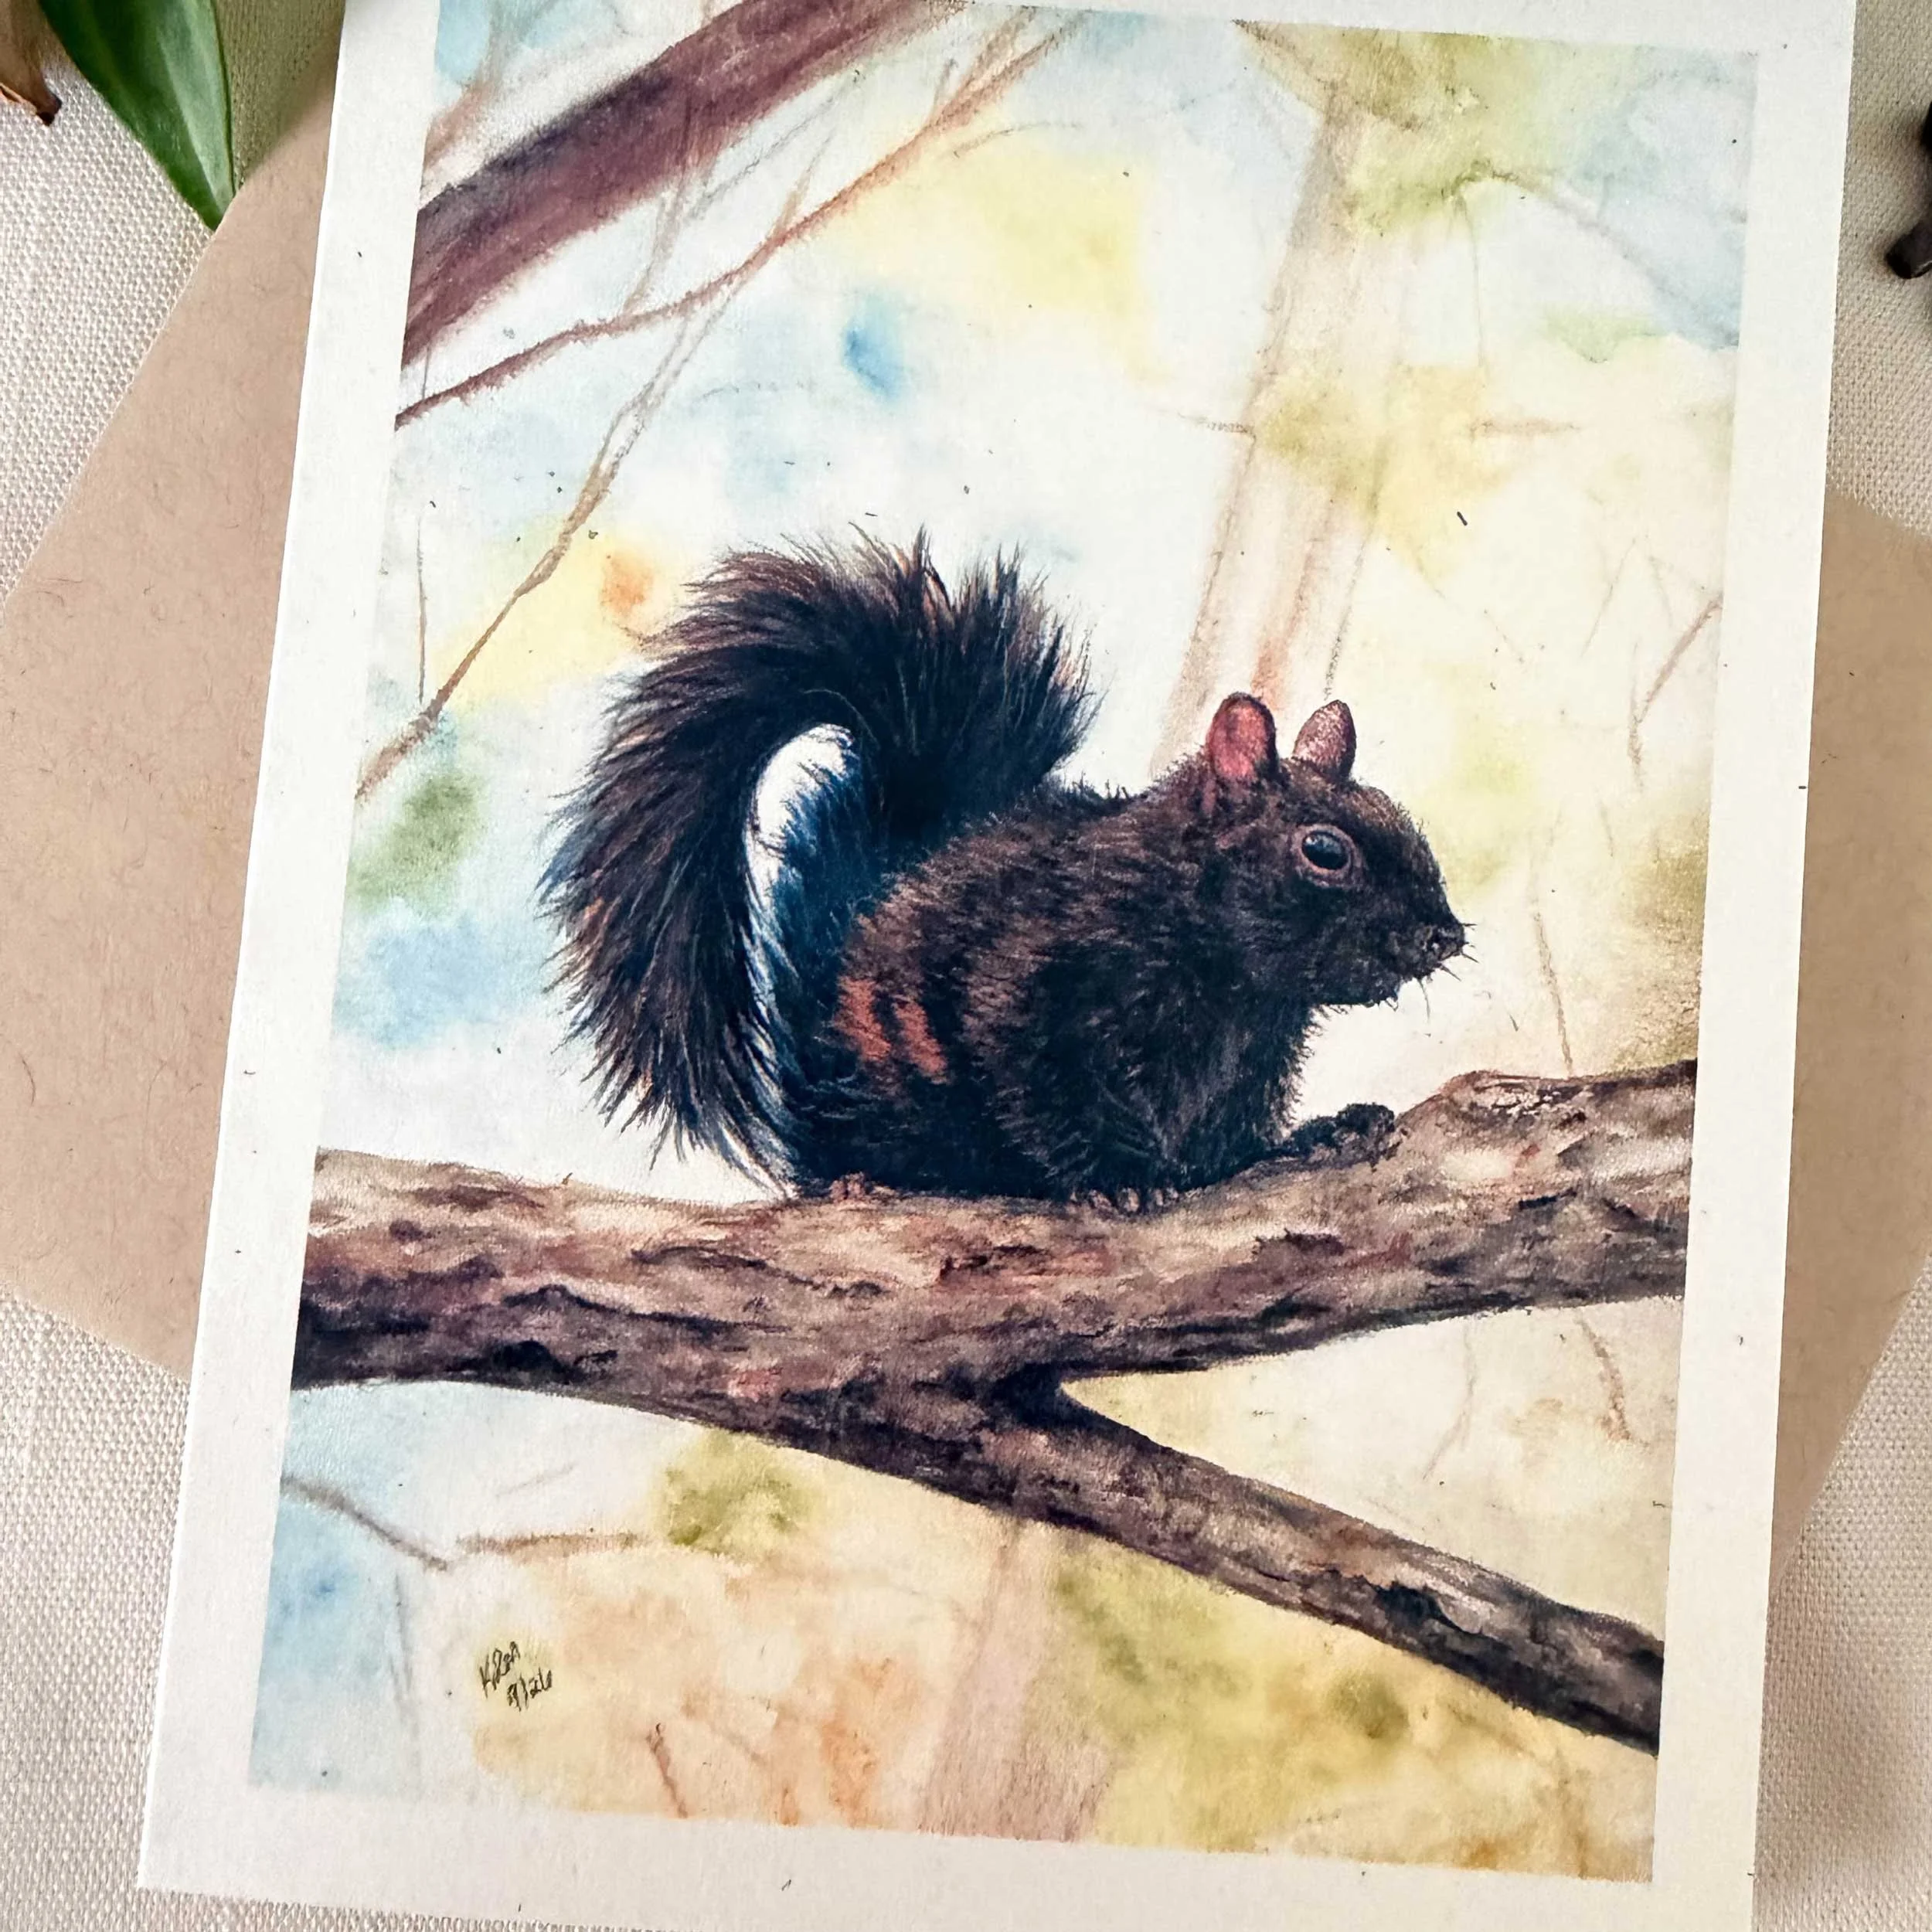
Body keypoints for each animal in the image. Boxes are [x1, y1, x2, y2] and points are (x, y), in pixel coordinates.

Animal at [544, 534, 1465, 1204]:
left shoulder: (1253, 1059)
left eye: (1404, 822)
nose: (1445, 936)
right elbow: (1052, 1090)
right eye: (1324, 851)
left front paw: (1318, 1132)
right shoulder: (1031, 993)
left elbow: (1229, 1144)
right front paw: (1124, 1178)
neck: (1235, 985)